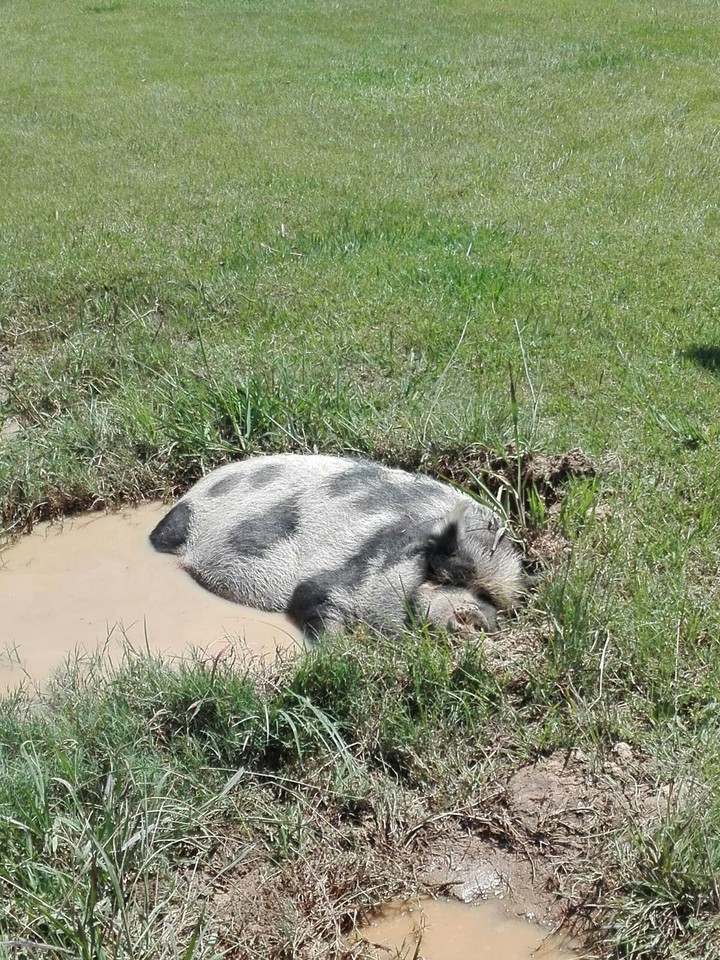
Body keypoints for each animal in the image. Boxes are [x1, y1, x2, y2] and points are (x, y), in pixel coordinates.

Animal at [149, 453, 526, 637]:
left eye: (489, 598)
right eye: (445, 576)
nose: (476, 617)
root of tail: (190, 491)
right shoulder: (327, 582)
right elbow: (312, 602)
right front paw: (336, 647)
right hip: (175, 530)